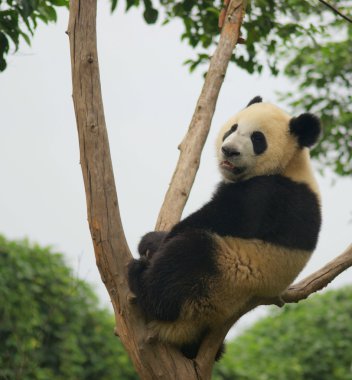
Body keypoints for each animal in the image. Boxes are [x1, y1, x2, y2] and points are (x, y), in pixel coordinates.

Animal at [127, 96, 322, 360]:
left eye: (257, 139)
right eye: (233, 128)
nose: (229, 150)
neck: (289, 165)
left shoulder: (267, 195)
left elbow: (210, 219)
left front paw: (152, 242)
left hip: (222, 283)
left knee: (188, 255)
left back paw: (142, 280)